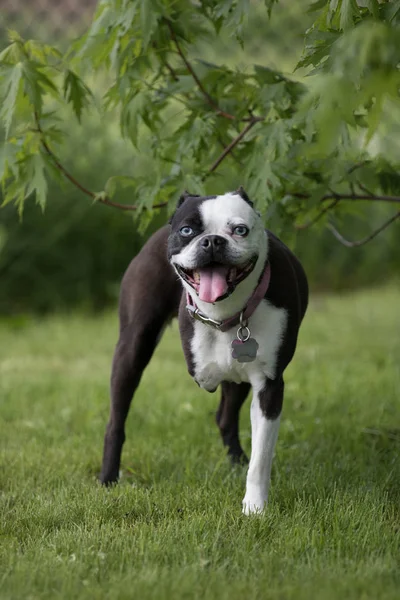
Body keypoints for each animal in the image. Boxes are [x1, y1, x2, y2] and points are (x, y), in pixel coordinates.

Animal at [101, 189, 310, 516]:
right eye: (187, 231)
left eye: (240, 230)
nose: (212, 241)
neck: (225, 313)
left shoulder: (268, 385)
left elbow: (261, 456)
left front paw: (254, 507)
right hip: (132, 350)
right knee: (116, 421)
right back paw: (108, 478)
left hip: (238, 377)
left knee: (225, 417)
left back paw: (237, 463)